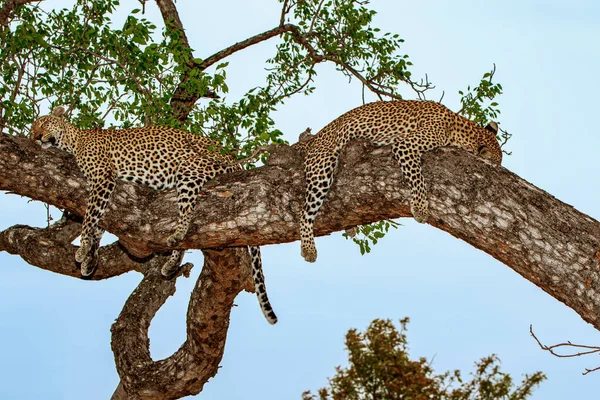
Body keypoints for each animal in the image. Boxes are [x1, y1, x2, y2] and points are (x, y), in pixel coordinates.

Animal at [31, 106, 278, 324]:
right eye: (32, 128)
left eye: (43, 123)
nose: (35, 137)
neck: (73, 141)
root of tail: (234, 160)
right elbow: (98, 224)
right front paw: (90, 259)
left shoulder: (103, 179)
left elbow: (89, 218)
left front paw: (82, 250)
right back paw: (171, 261)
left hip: (189, 169)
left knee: (187, 211)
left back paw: (178, 235)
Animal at [290, 99, 502, 262]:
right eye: (497, 163)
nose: (499, 168)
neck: (459, 127)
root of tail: (313, 139)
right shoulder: (405, 145)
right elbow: (417, 177)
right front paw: (420, 208)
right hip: (322, 166)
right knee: (304, 212)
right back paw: (308, 249)